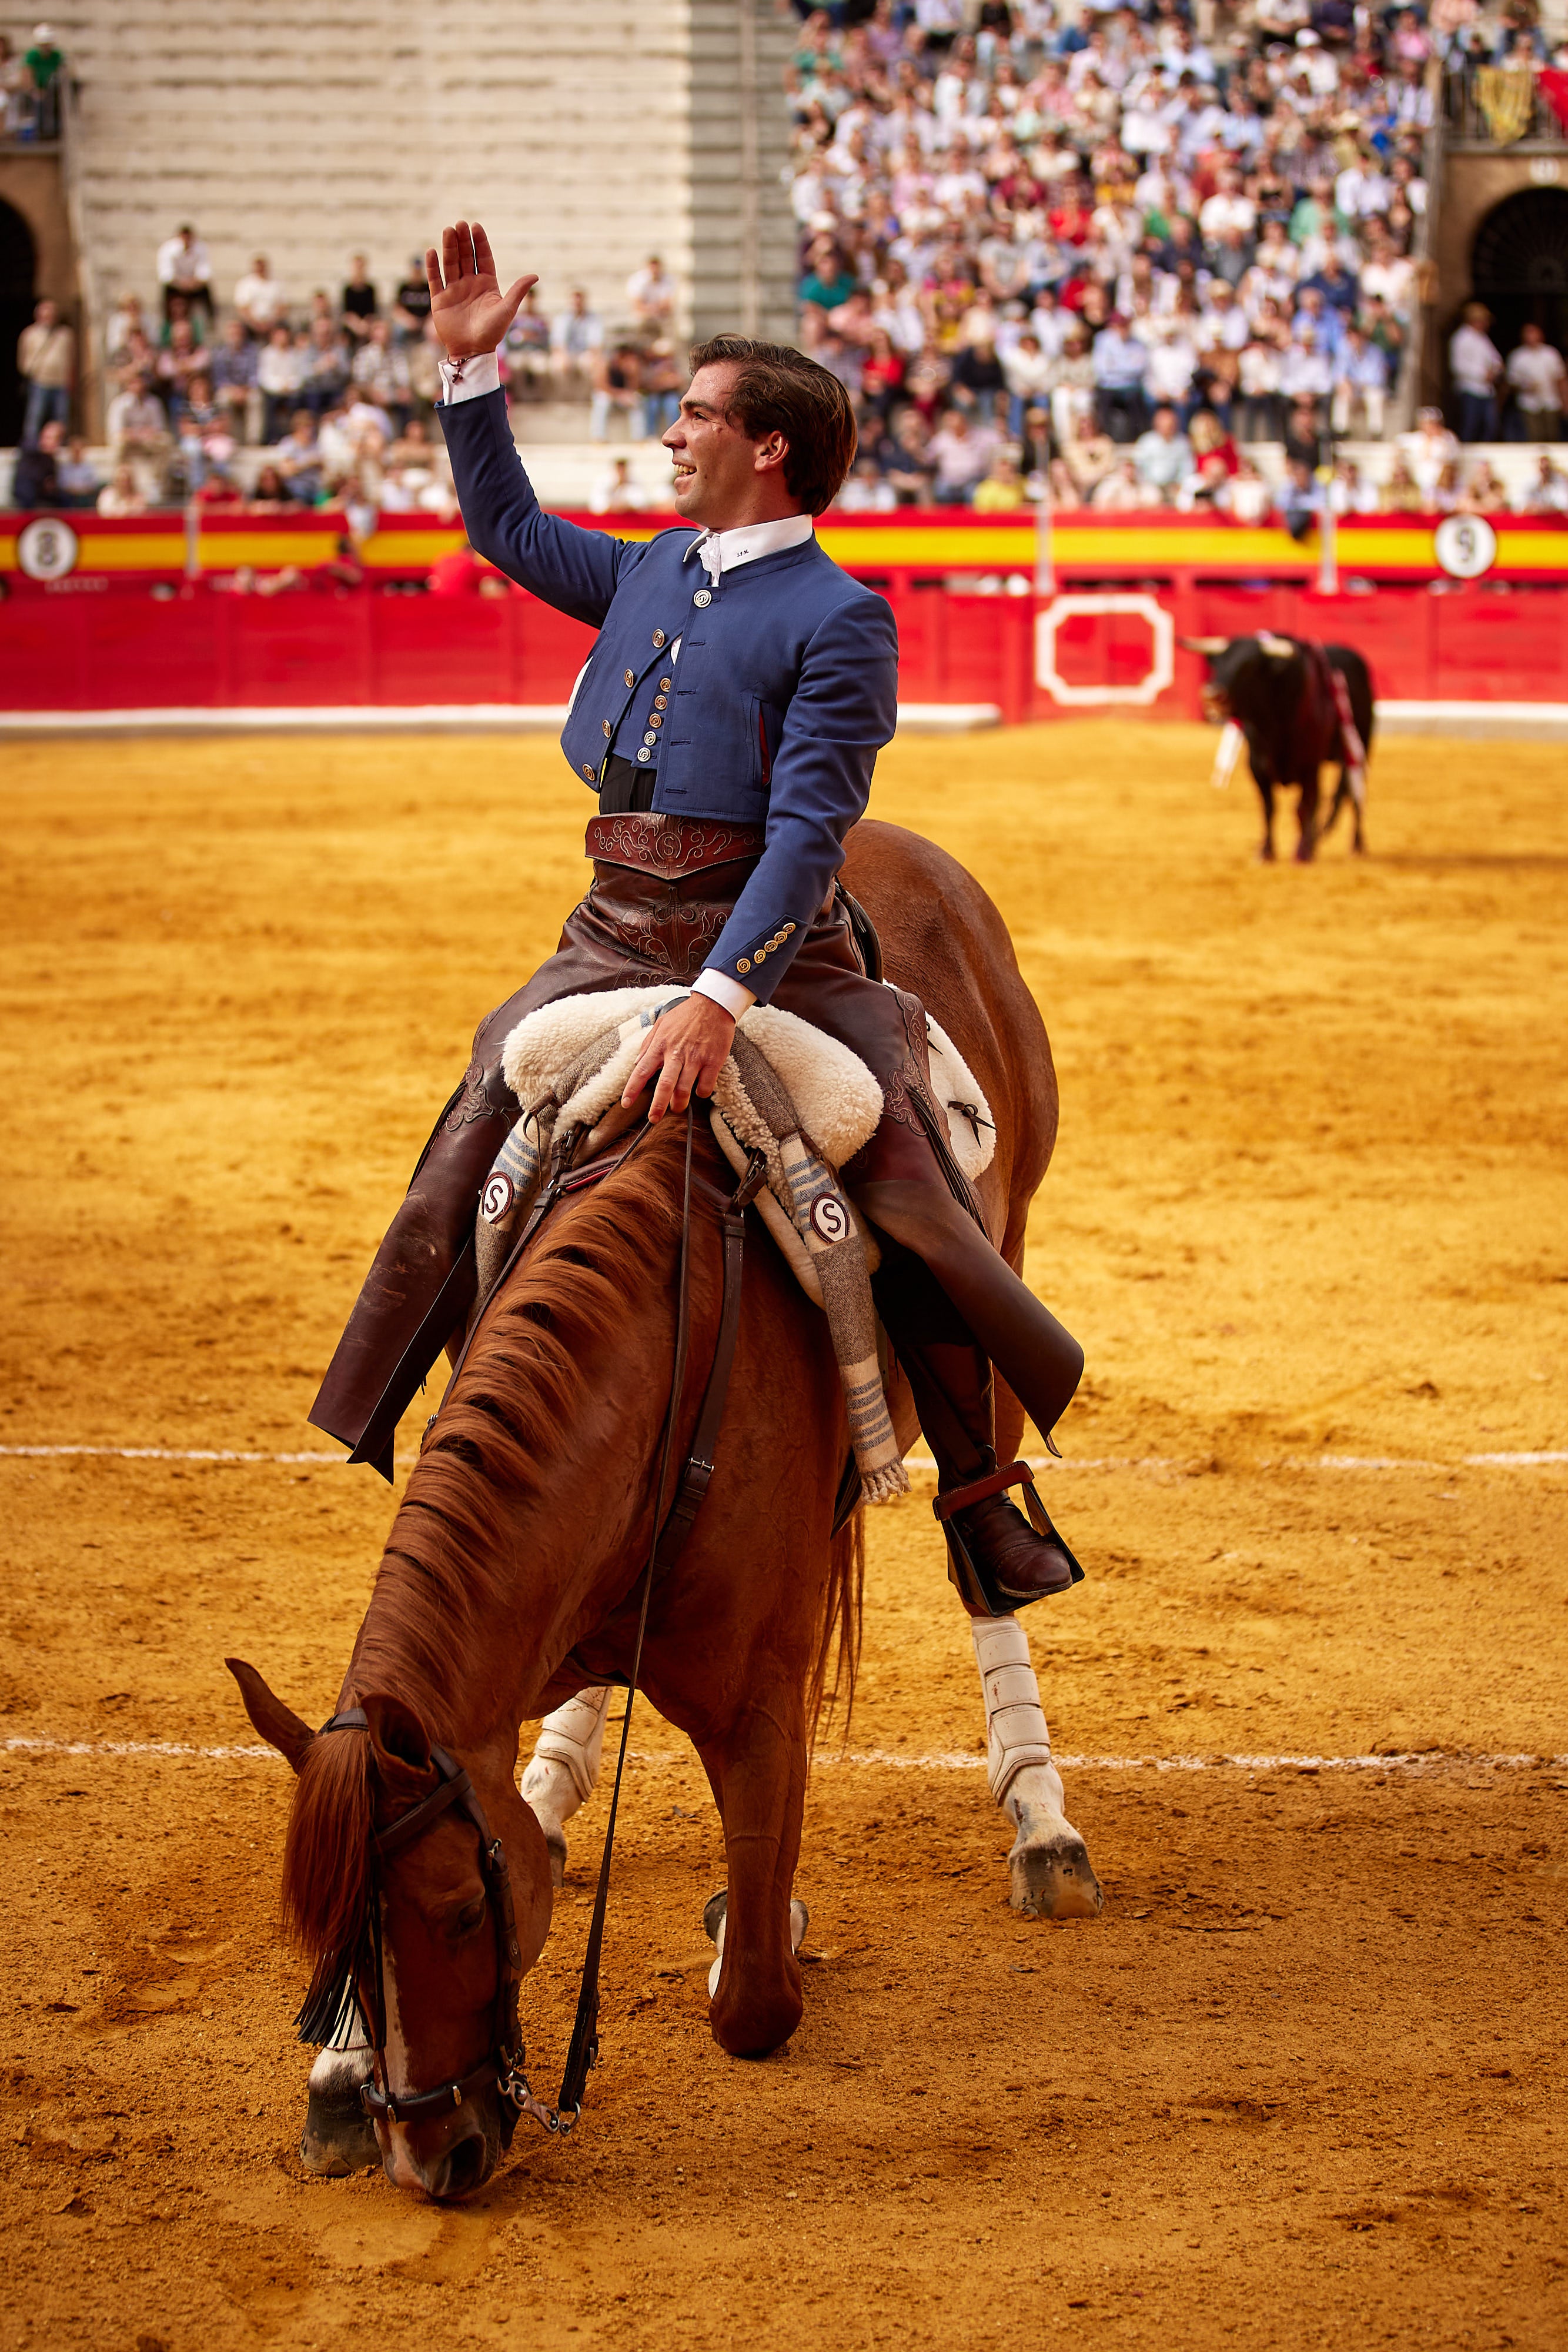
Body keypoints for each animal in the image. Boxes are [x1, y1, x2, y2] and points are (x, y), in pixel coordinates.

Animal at [230, 818, 1067, 2192]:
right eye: (329, 1926)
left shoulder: (760, 1703)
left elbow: (754, 1997)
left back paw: (1043, 1825)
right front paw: (342, 2071)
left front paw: (755, 1916)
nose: (437, 2156)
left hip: (1002, 1290)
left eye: (465, 1907)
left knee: (983, 1549)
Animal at [1185, 635, 1382, 866]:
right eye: (1217, 663)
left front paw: (1302, 852)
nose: (1212, 695)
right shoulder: (1257, 766)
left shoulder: (1309, 767)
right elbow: (1269, 807)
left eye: (1249, 666)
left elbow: (1304, 806)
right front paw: (1266, 852)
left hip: (1360, 746)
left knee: (1353, 794)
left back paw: (1356, 845)